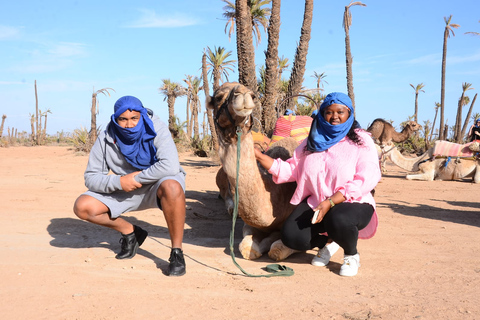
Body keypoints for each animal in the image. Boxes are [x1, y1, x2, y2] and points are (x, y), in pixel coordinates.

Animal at [206, 81, 300, 262]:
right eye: (219, 97)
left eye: (254, 95)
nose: (243, 94)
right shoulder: (250, 224)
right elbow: (247, 247)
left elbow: (277, 249)